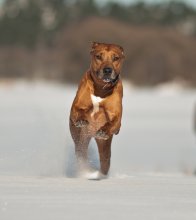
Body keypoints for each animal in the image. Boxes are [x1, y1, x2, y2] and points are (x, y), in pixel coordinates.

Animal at [69, 41, 124, 177]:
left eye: (116, 58)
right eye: (98, 56)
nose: (107, 70)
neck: (100, 88)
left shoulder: (117, 117)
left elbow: (113, 123)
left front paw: (104, 130)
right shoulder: (76, 108)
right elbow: (79, 111)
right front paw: (82, 119)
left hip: (104, 145)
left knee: (105, 160)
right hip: (80, 137)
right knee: (81, 152)